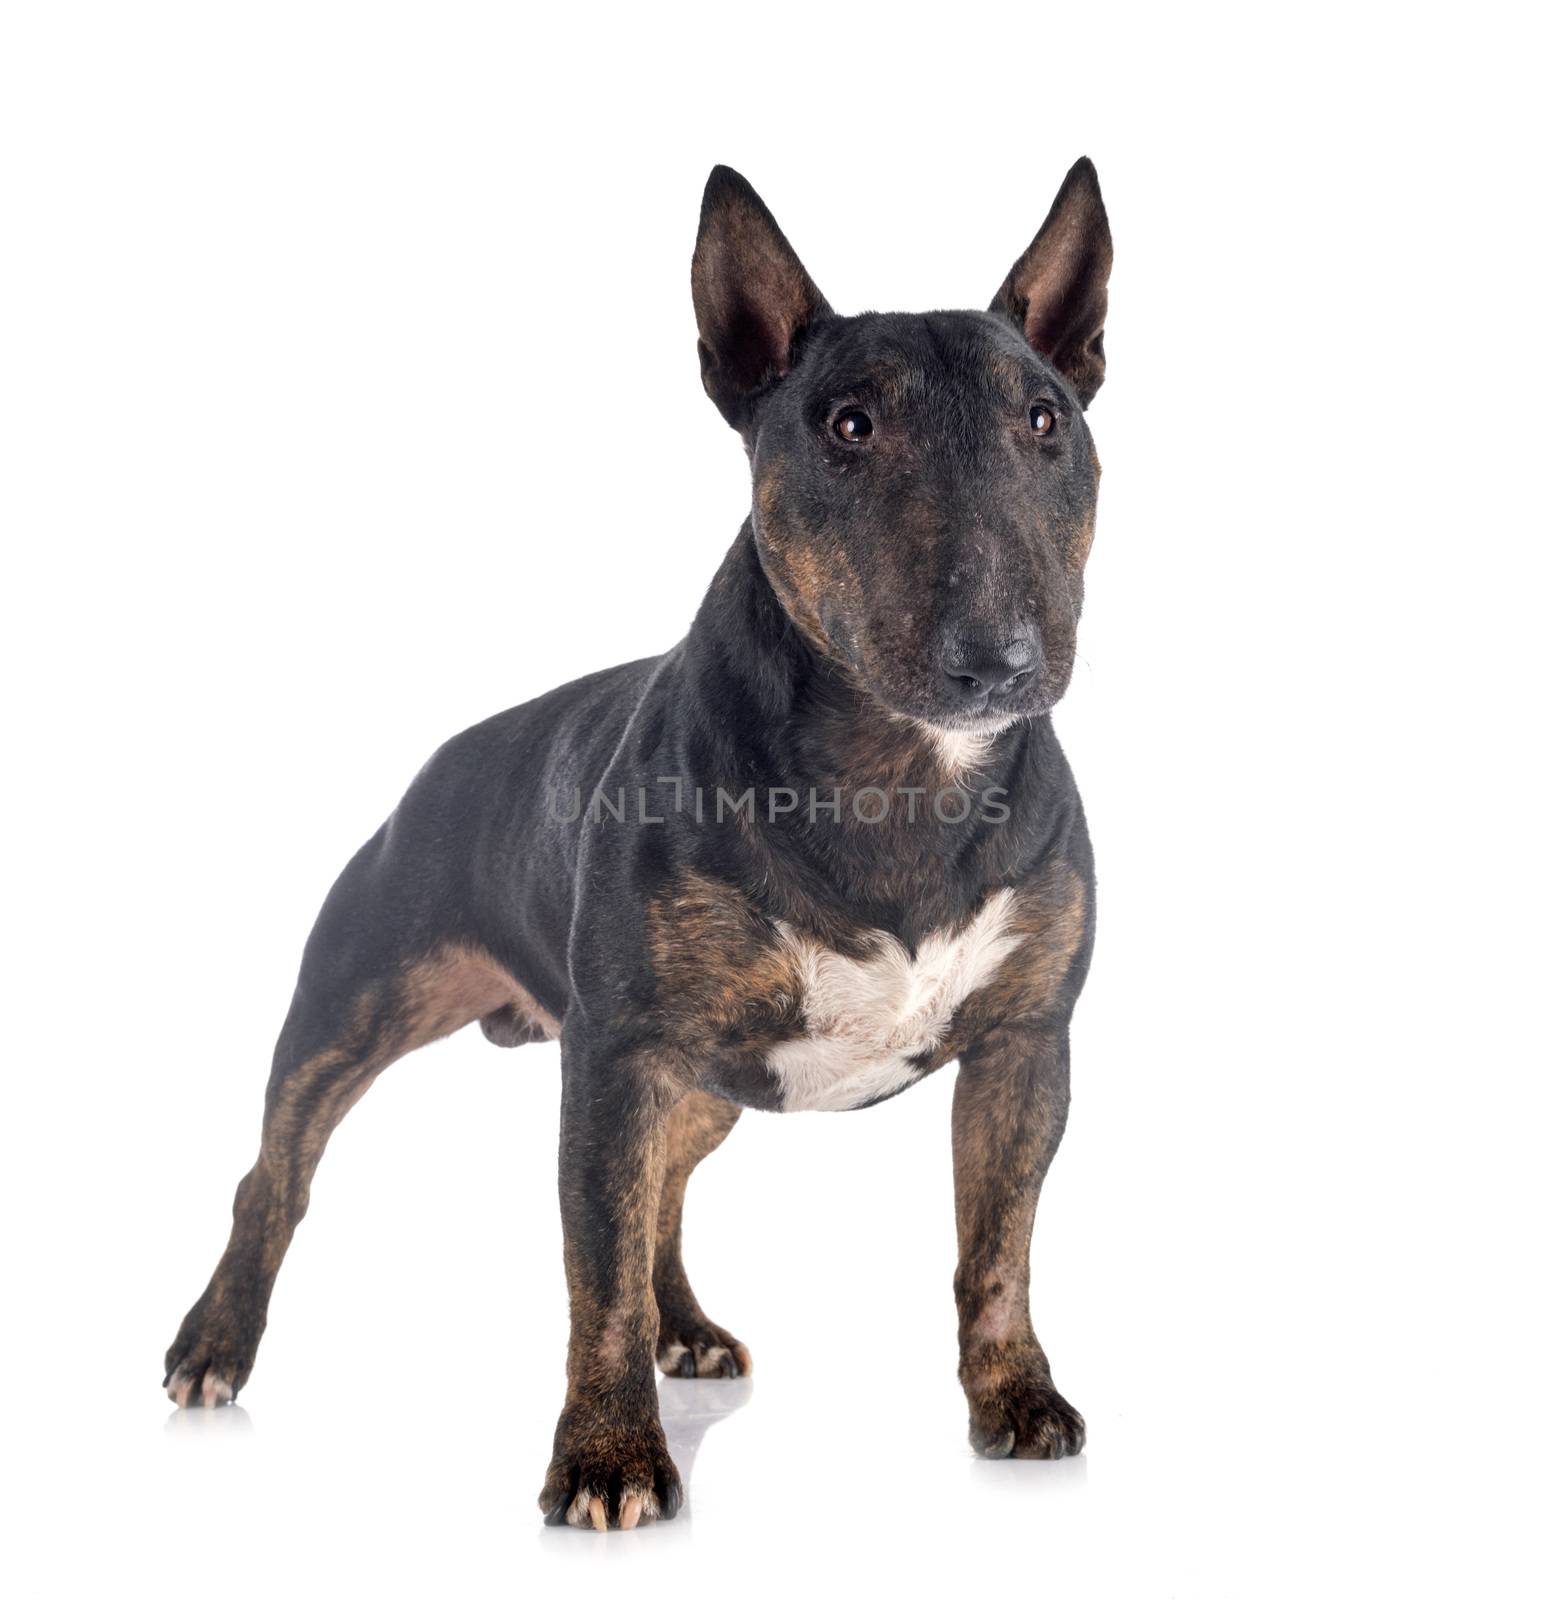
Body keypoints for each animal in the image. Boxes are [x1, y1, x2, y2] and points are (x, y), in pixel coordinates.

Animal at [163, 156, 1107, 1529]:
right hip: (360, 1003)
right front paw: (608, 1459)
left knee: (665, 1190)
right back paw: (214, 1342)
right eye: (848, 426)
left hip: (697, 1079)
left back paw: (689, 1327)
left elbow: (998, 1249)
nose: (998, 660)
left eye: (1044, 420)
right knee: (276, 1174)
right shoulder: (617, 1052)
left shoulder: (1024, 1046)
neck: (898, 777)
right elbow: (592, 1273)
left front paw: (1017, 1398)